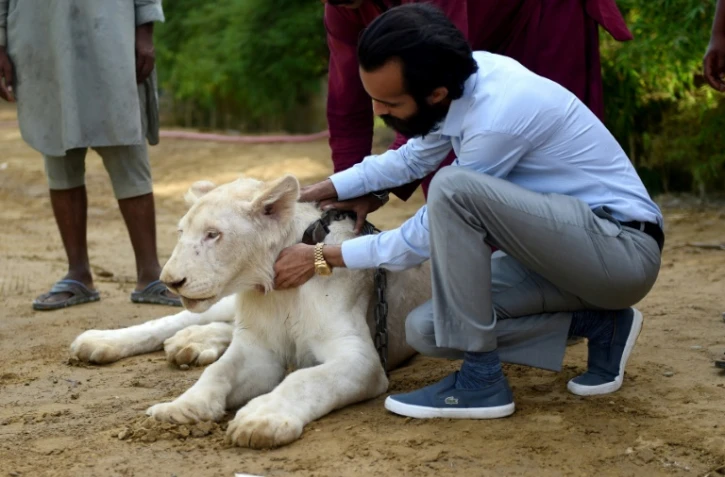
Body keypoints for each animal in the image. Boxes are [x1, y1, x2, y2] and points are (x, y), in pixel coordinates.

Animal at [70, 174, 432, 449]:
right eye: (181, 233)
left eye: (213, 234)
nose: (170, 281)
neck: (274, 290)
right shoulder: (258, 349)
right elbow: (218, 372)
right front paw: (182, 408)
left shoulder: (362, 359)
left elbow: (304, 379)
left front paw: (262, 420)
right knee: (182, 319)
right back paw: (101, 342)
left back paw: (190, 344)